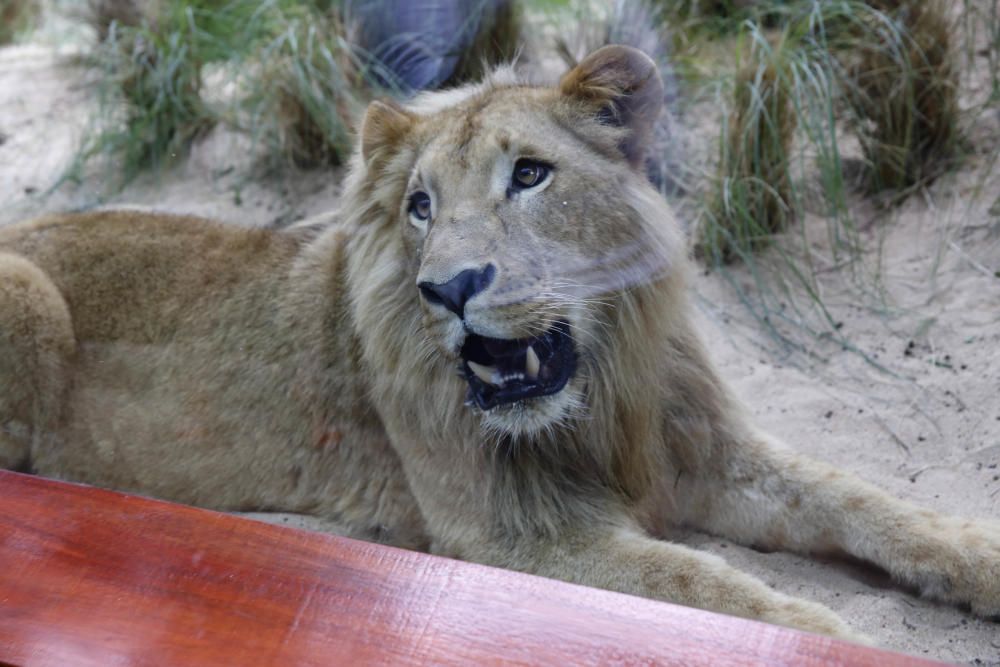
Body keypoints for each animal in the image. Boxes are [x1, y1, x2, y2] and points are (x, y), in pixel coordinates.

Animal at [1, 47, 1000, 640]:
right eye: (419, 205)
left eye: (529, 175)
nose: (449, 287)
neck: (595, 395)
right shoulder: (509, 536)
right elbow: (708, 585)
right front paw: (843, 641)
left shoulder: (703, 450)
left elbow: (868, 503)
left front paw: (978, 562)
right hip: (28, 291)